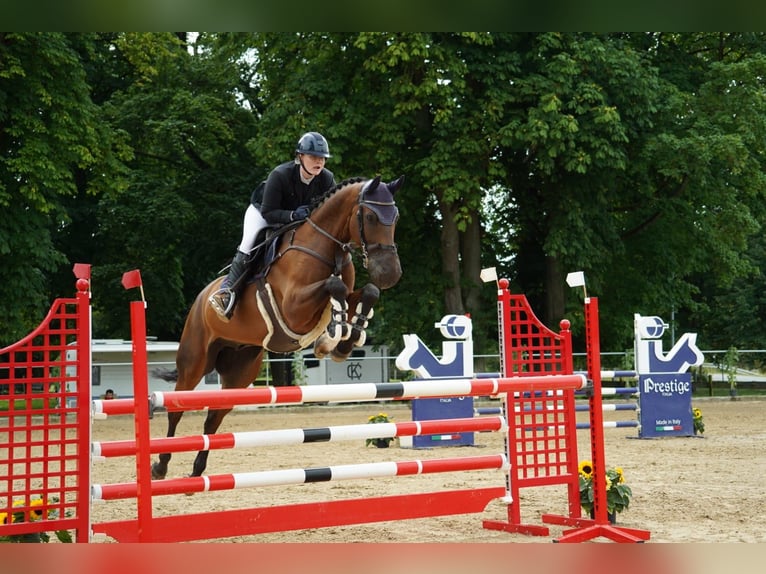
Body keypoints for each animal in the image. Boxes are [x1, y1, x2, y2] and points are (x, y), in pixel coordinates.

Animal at [151, 175, 404, 480]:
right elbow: (335, 286)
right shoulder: (294, 308)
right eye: (369, 216)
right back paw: (160, 466)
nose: (390, 274)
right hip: (194, 361)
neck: (325, 247)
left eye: (396, 217)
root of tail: (202, 297)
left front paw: (344, 341)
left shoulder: (342, 295)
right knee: (176, 409)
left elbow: (366, 292)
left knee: (213, 418)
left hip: (240, 371)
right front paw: (331, 338)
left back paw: (198, 471)